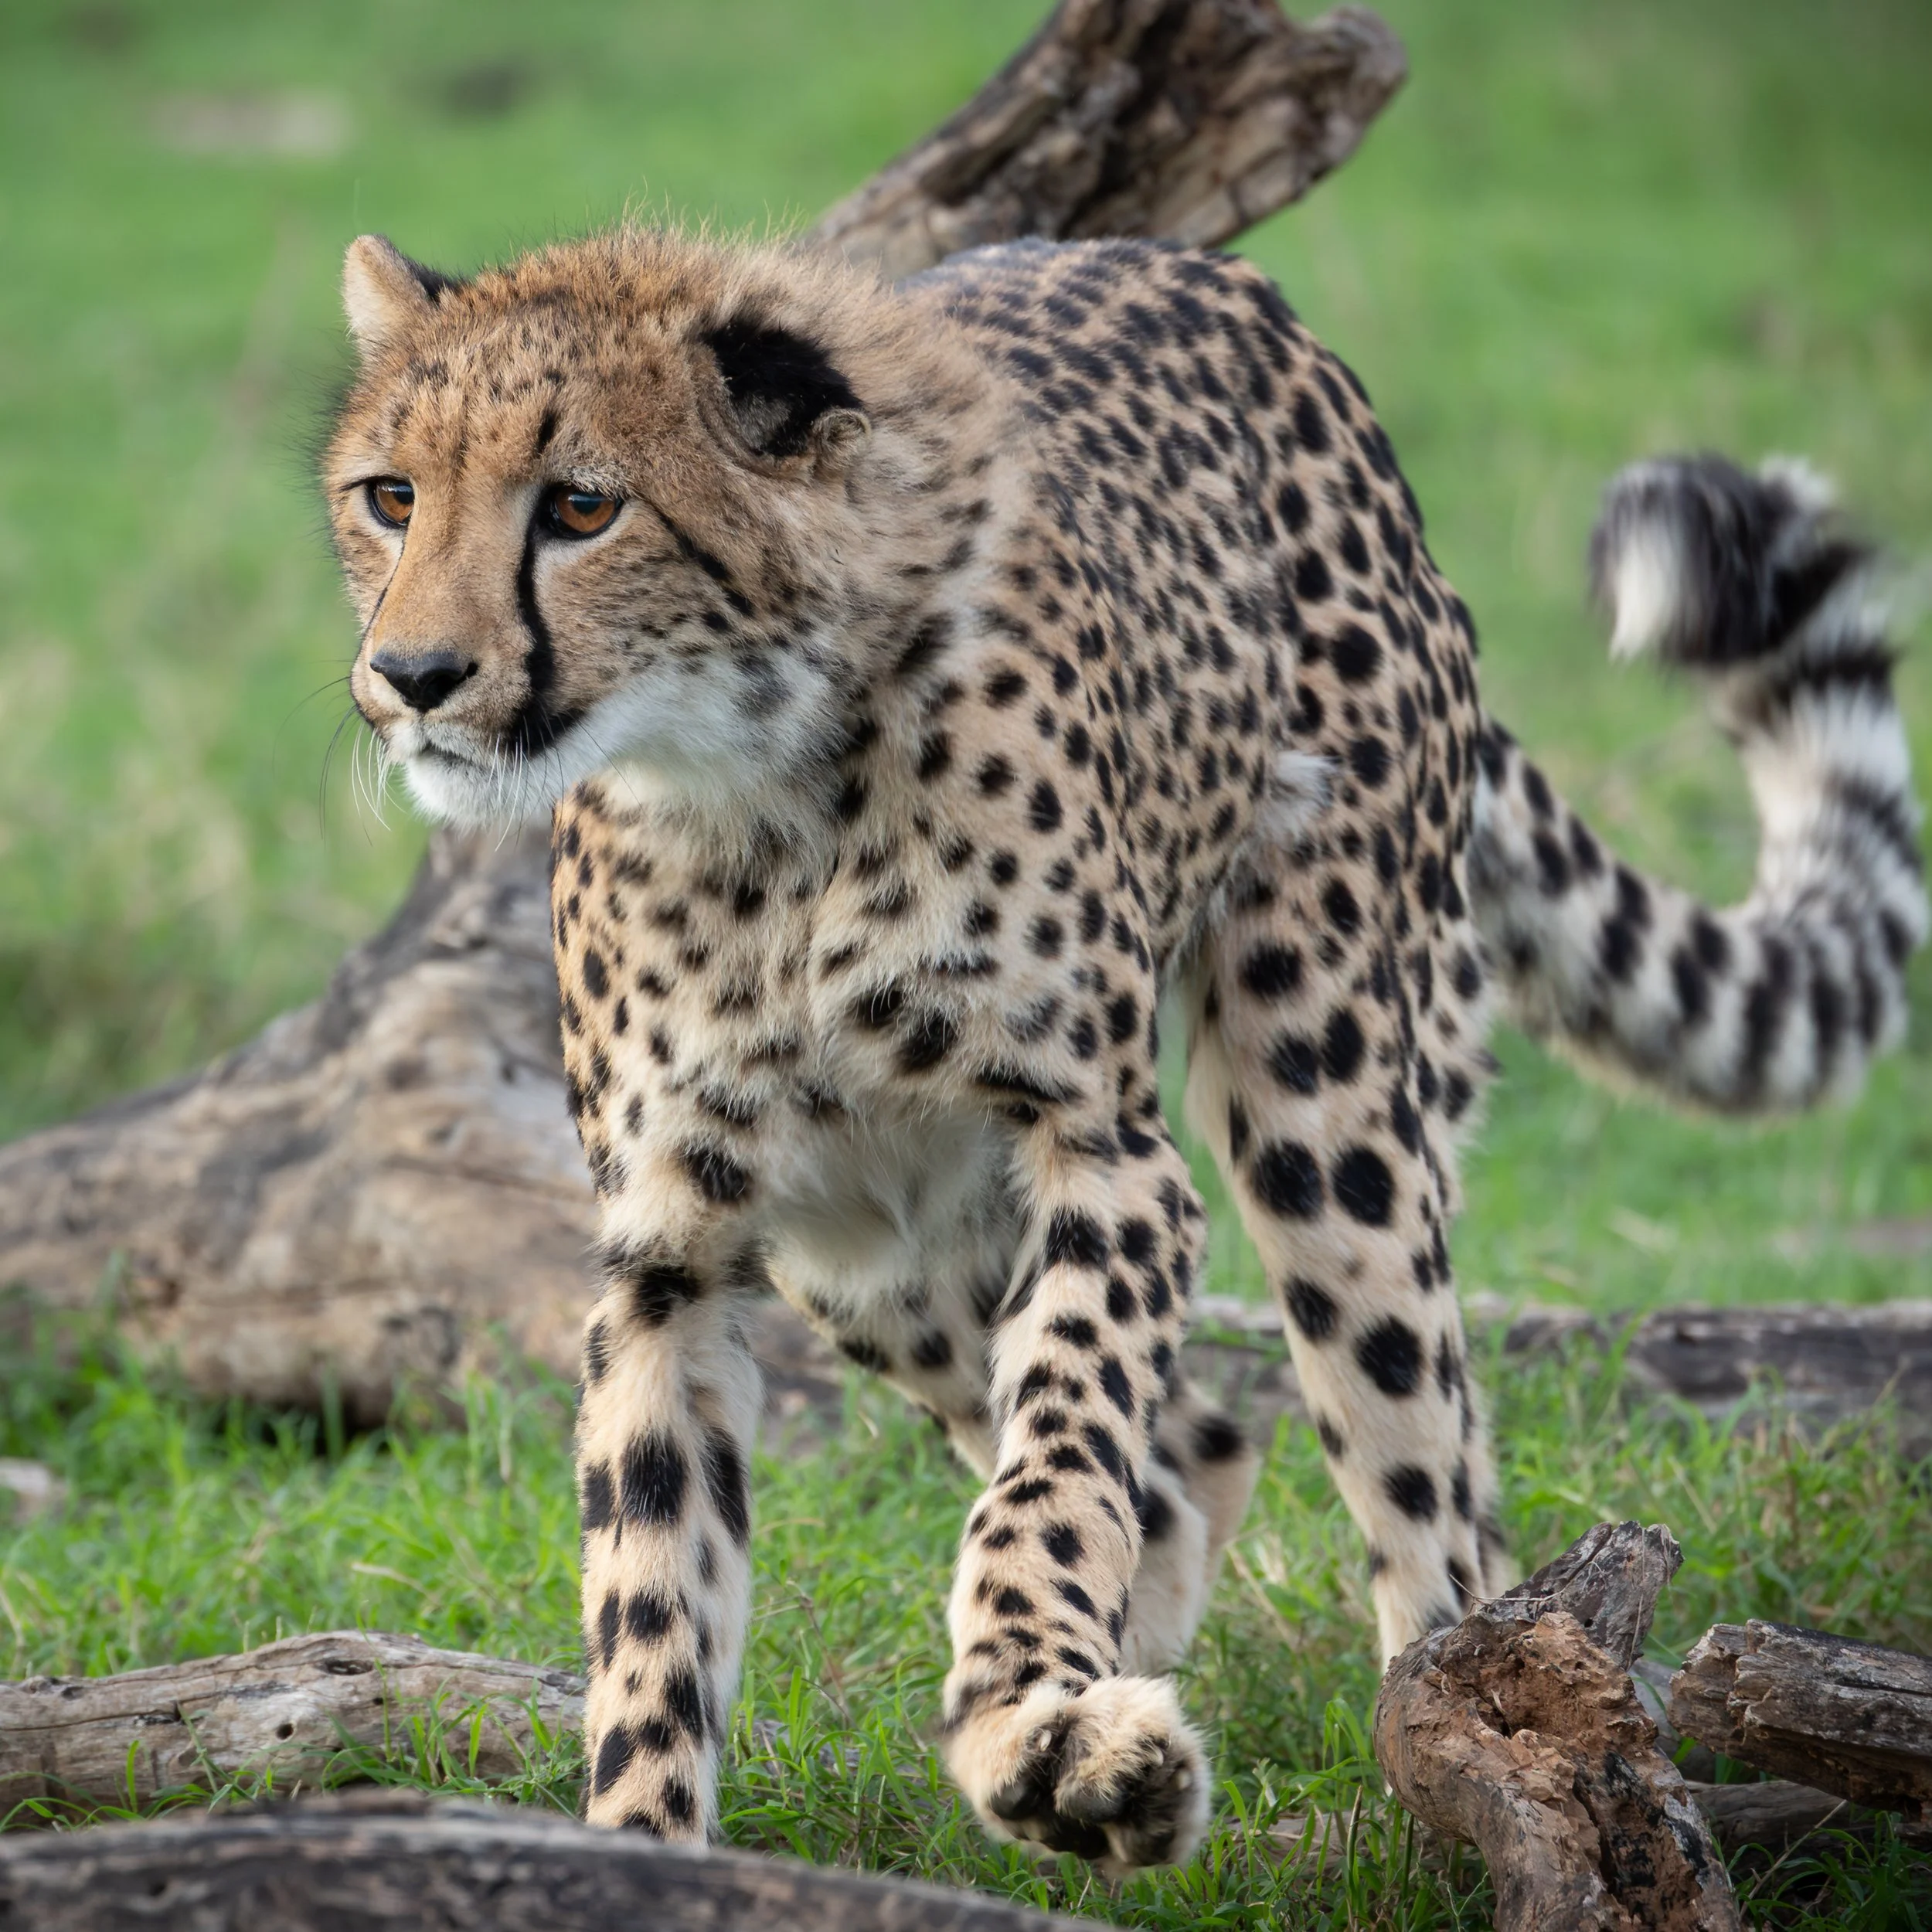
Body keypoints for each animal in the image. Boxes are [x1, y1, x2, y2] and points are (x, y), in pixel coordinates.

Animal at [325, 224, 1924, 1873]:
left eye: (582, 506)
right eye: (391, 496)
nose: (415, 677)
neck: (749, 804)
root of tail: (1213, 280)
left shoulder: (1102, 1152)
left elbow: (1056, 1461)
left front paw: (1042, 1720)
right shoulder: (671, 1255)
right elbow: (650, 1605)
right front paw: (638, 1844)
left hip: (1326, 1089)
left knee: (1422, 1470)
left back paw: (1454, 1759)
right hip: (876, 1259)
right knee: (1199, 1450)